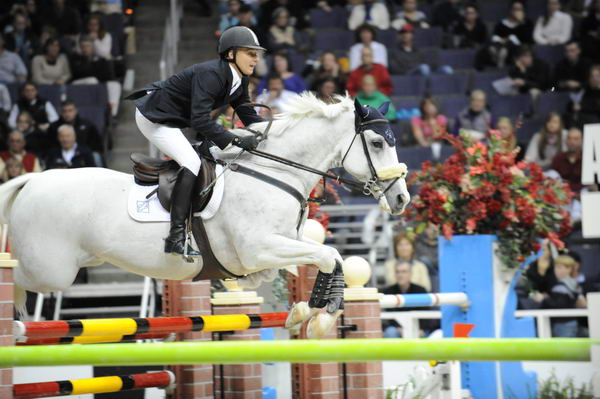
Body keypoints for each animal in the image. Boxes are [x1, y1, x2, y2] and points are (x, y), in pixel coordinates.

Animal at [0, 94, 410, 338]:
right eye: (377, 143)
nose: (402, 198)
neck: (275, 170)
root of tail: (32, 179)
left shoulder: (282, 245)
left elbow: (332, 257)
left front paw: (308, 314)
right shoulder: (259, 249)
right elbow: (327, 255)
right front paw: (319, 316)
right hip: (50, 269)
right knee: (18, 279)